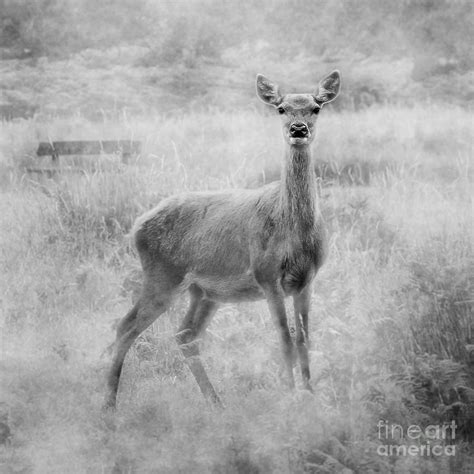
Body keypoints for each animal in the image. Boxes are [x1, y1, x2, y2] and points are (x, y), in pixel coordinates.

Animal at [103, 70, 340, 408]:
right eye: (281, 108)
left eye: (316, 108)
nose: (298, 129)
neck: (294, 231)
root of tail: (137, 225)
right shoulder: (267, 274)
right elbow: (284, 338)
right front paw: (290, 396)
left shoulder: (307, 279)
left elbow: (304, 339)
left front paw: (311, 396)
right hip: (163, 275)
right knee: (125, 326)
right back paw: (109, 403)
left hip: (203, 292)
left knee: (185, 335)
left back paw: (216, 402)